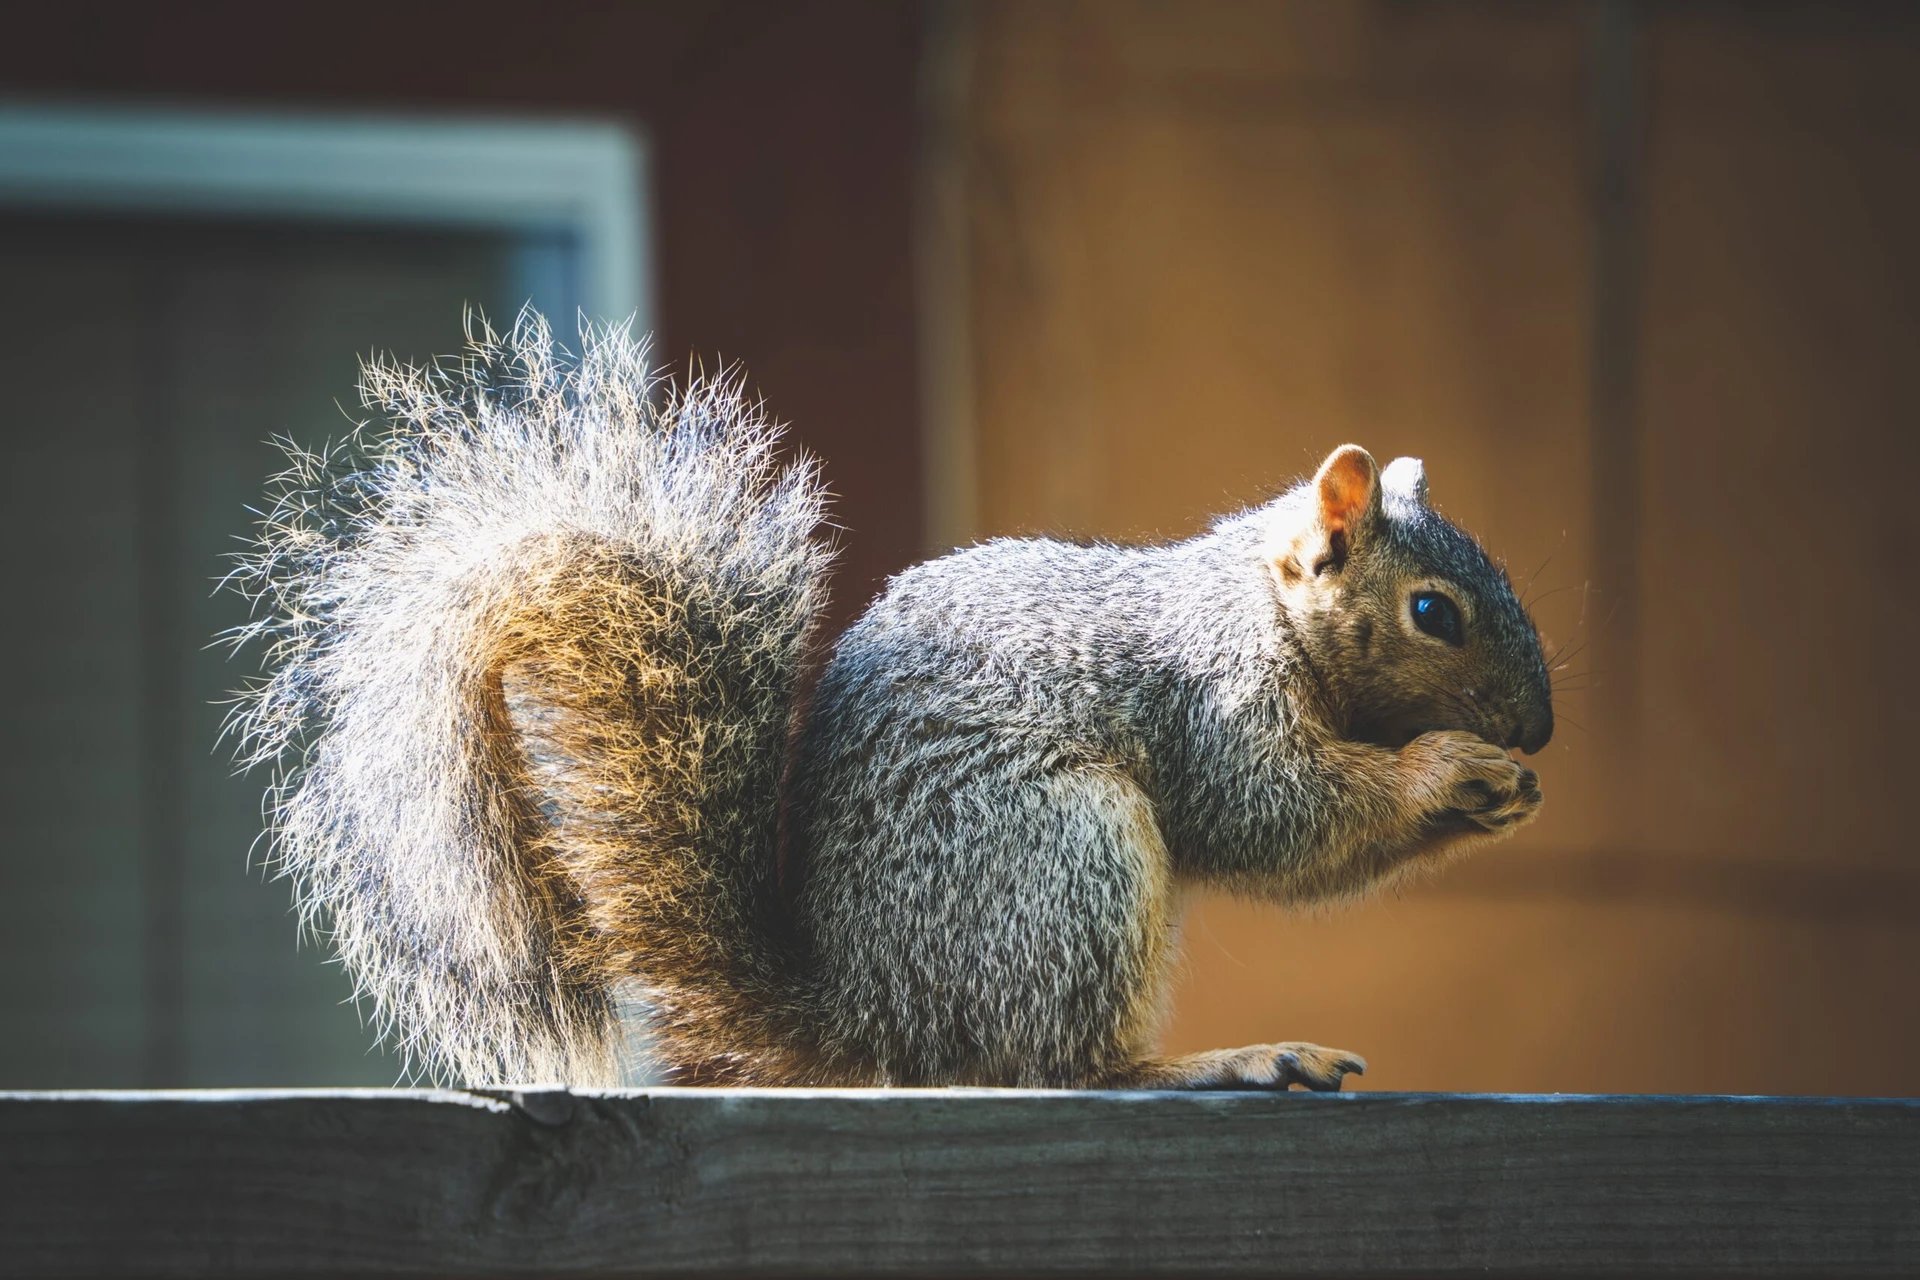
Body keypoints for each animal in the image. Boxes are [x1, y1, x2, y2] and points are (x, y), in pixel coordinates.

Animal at [227, 313, 1552, 1091]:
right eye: (1434, 611)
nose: (1538, 728)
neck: (1258, 604)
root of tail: (873, 1017)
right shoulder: (1216, 702)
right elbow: (1279, 819)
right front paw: (1450, 767)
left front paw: (1502, 790)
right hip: (1065, 854)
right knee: (1060, 1064)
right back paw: (1219, 1059)